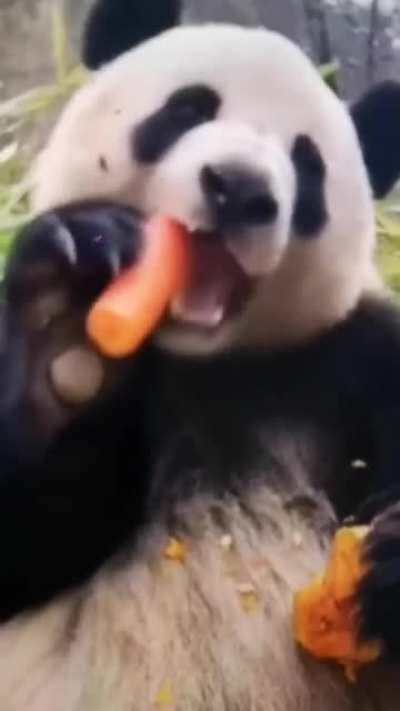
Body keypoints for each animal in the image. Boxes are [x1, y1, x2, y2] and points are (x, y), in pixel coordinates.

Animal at [2, 0, 400, 709]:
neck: (203, 360)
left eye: (307, 165)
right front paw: (65, 332)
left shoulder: (355, 362)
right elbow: (30, 543)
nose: (239, 189)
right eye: (187, 110)